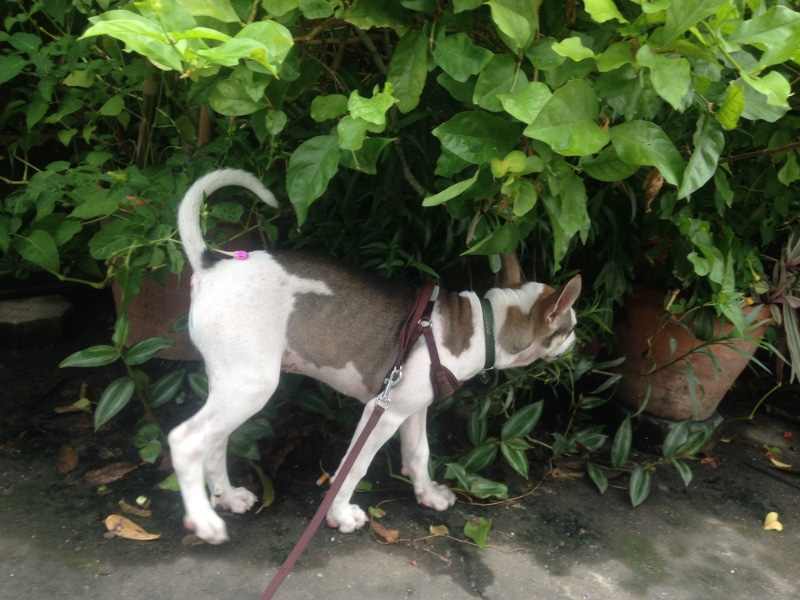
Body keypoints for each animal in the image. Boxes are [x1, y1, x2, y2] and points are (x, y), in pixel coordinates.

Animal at [170, 169, 580, 544]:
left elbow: (418, 453)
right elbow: (354, 469)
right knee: (186, 440)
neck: (485, 324)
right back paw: (205, 521)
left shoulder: (411, 409)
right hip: (251, 385)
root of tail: (212, 264)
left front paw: (428, 494)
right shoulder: (381, 413)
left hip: (232, 382)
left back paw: (226, 497)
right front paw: (340, 514)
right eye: (571, 325)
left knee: (215, 440)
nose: (578, 342)